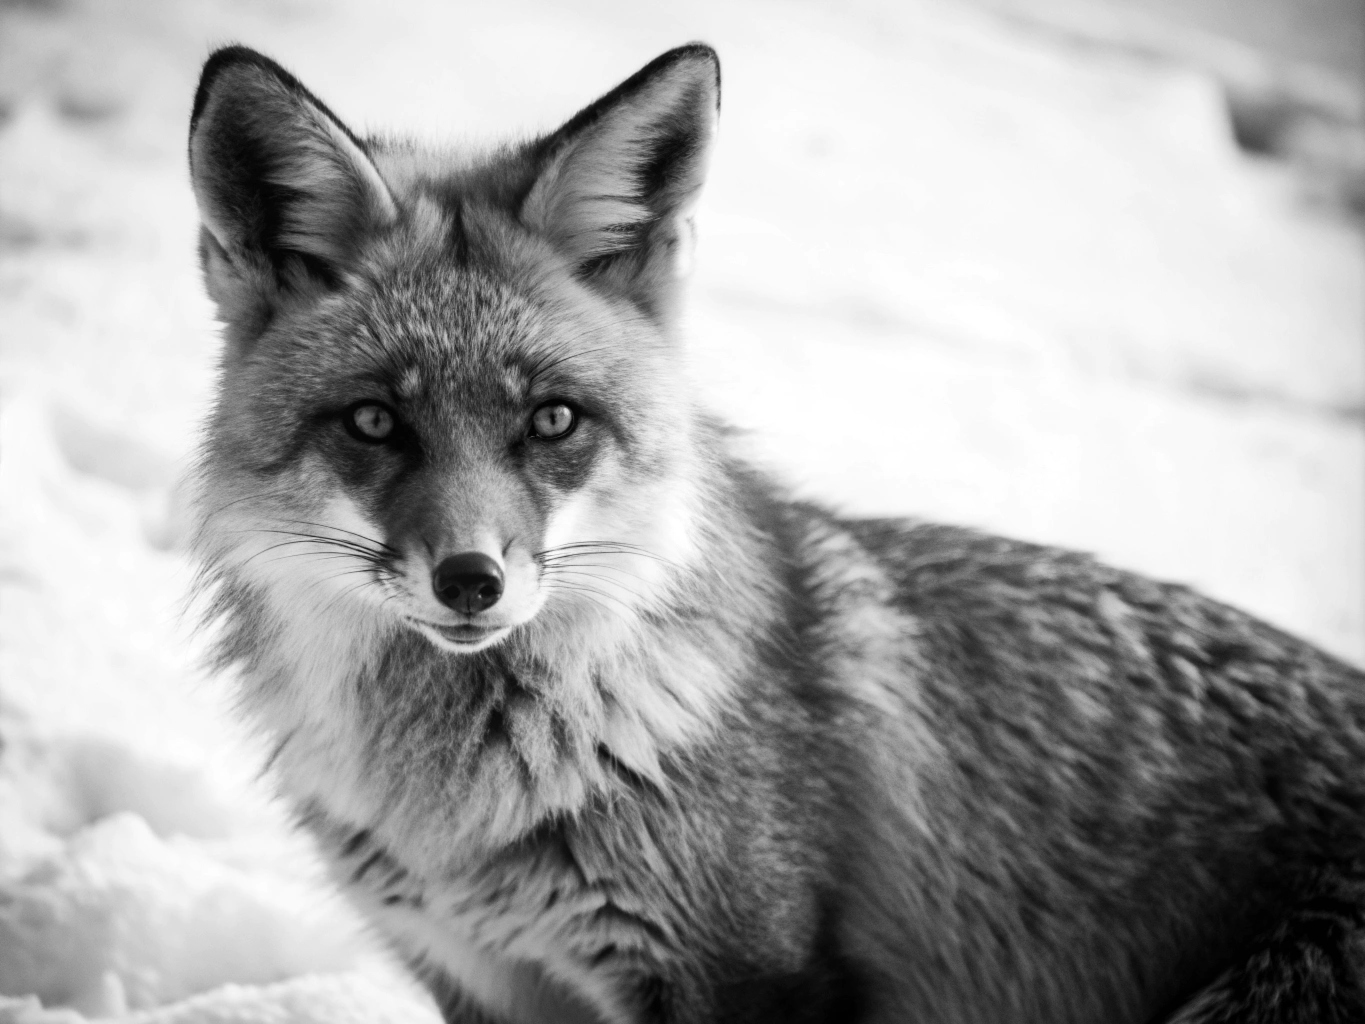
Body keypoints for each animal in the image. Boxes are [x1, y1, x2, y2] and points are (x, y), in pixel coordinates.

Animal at [185, 41, 1365, 1024]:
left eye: (552, 421)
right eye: (376, 422)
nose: (471, 580)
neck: (462, 817)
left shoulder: (752, 973)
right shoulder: (483, 981)